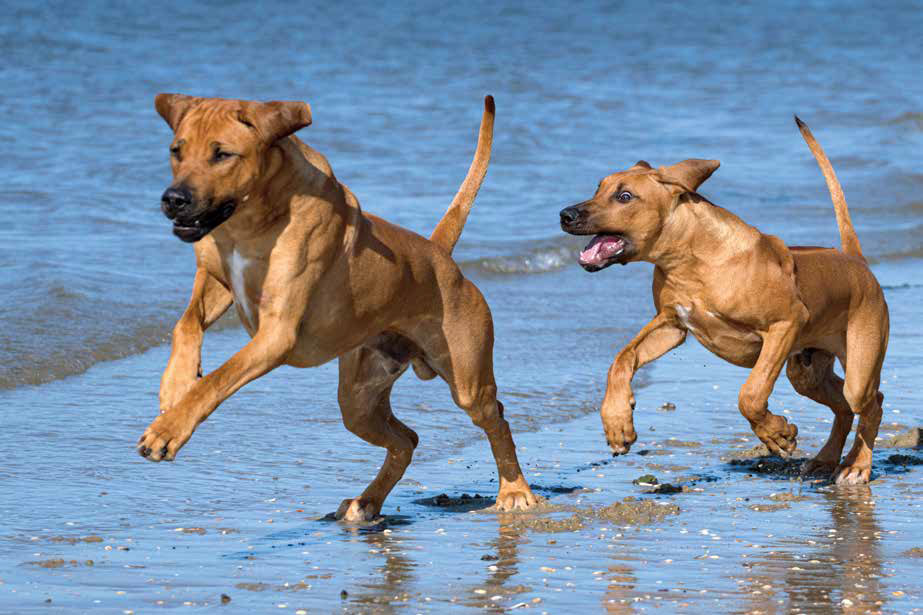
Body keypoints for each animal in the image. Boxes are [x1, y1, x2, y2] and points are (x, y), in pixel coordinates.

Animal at [139, 95, 540, 520]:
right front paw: (175, 385)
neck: (250, 222)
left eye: (223, 154)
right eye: (176, 151)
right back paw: (367, 501)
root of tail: (438, 253)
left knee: (496, 418)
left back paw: (514, 490)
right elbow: (186, 323)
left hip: (467, 380)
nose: (174, 199)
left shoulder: (276, 332)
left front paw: (167, 430)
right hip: (358, 399)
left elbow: (218, 378)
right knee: (406, 439)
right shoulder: (214, 277)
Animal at [560, 119, 892, 486]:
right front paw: (617, 422)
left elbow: (751, 394)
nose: (565, 215)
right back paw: (826, 460)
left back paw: (858, 465)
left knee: (871, 402)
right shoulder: (671, 325)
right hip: (806, 371)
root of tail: (855, 261)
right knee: (844, 406)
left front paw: (777, 434)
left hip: (859, 365)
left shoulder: (785, 324)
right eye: (598, 187)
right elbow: (621, 359)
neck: (691, 260)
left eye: (624, 196)